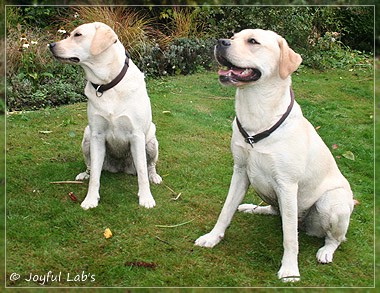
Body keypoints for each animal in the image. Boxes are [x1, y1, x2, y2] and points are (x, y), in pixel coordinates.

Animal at [49, 23, 162, 210]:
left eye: (78, 35)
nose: (51, 45)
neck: (107, 83)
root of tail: (120, 167)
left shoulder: (137, 135)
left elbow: (142, 174)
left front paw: (146, 198)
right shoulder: (97, 135)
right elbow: (95, 175)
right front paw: (90, 199)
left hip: (151, 140)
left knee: (149, 166)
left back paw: (154, 176)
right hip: (87, 137)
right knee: (90, 166)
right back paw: (84, 174)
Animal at [194, 29, 354, 280]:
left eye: (253, 41)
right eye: (234, 36)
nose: (221, 42)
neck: (257, 116)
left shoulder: (287, 185)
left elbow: (290, 237)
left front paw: (289, 270)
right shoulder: (240, 172)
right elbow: (226, 210)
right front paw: (212, 237)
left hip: (332, 203)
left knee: (335, 238)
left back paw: (326, 251)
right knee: (274, 211)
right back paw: (253, 208)